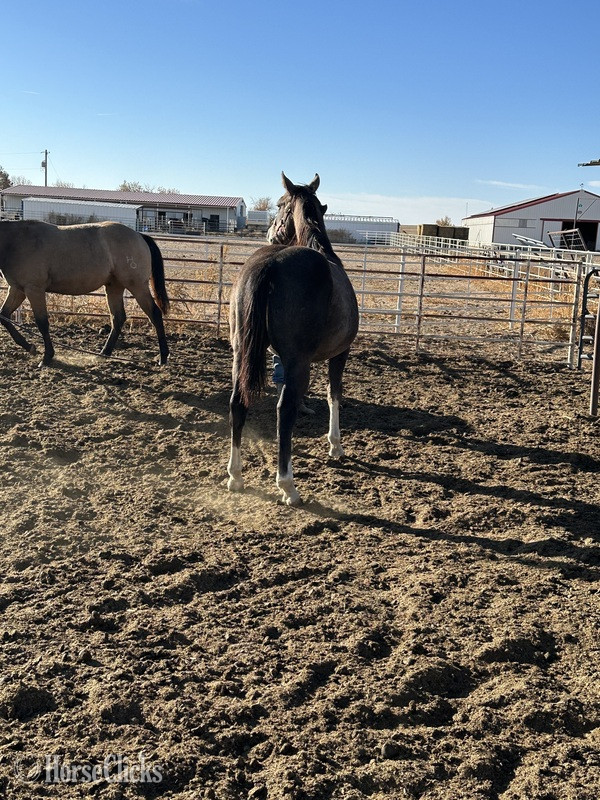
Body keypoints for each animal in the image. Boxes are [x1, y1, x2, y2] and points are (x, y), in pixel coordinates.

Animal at [0, 219, 170, 366]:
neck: (16, 241)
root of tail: (139, 235)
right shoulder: (18, 289)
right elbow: (4, 316)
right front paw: (30, 347)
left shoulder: (34, 289)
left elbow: (42, 323)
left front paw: (47, 357)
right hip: (114, 287)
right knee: (118, 318)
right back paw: (104, 353)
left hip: (137, 286)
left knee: (154, 314)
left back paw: (163, 357)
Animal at [227, 172, 359, 505]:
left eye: (278, 205)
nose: (270, 234)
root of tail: (269, 264)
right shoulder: (340, 353)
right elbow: (334, 394)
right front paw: (335, 445)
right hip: (298, 361)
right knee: (283, 411)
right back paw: (288, 486)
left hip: (240, 354)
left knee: (237, 403)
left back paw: (235, 476)